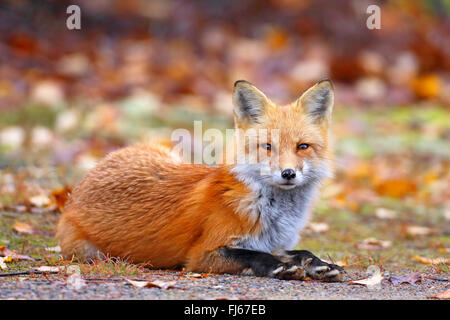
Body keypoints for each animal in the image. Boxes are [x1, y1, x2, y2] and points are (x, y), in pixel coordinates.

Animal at [56, 79, 344, 282]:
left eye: (302, 146)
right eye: (268, 146)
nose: (288, 174)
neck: (273, 213)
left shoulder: (278, 241)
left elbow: (299, 252)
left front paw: (320, 264)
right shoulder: (201, 256)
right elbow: (254, 253)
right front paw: (280, 267)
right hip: (91, 251)